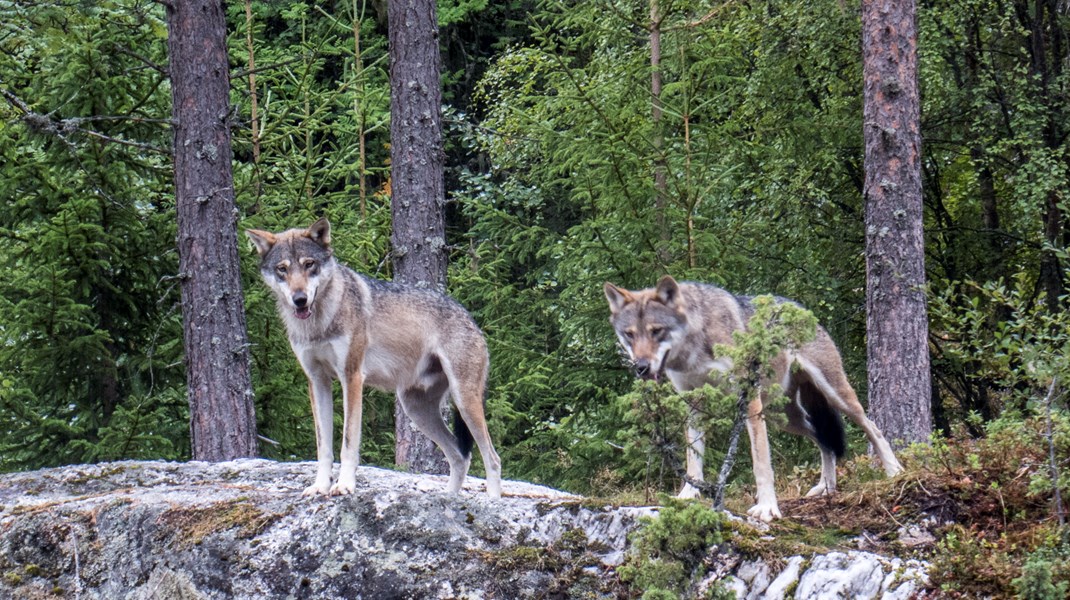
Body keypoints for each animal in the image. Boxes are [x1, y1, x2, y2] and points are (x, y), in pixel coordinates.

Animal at [248, 217, 502, 498]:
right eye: (282, 269)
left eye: (309, 264)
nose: (300, 299)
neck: (319, 324)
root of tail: (472, 321)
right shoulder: (316, 381)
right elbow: (323, 446)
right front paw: (320, 486)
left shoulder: (352, 377)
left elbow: (348, 442)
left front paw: (344, 485)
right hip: (416, 409)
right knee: (460, 457)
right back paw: (450, 498)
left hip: (464, 402)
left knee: (492, 458)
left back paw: (491, 501)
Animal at [603, 275, 903, 519]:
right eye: (629, 335)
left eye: (657, 331)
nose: (641, 367)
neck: (694, 349)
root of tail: (800, 307)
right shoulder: (694, 404)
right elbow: (693, 458)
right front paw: (688, 495)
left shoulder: (747, 400)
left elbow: (761, 462)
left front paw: (768, 507)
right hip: (782, 417)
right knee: (823, 440)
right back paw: (827, 487)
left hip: (833, 396)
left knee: (871, 427)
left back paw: (894, 471)